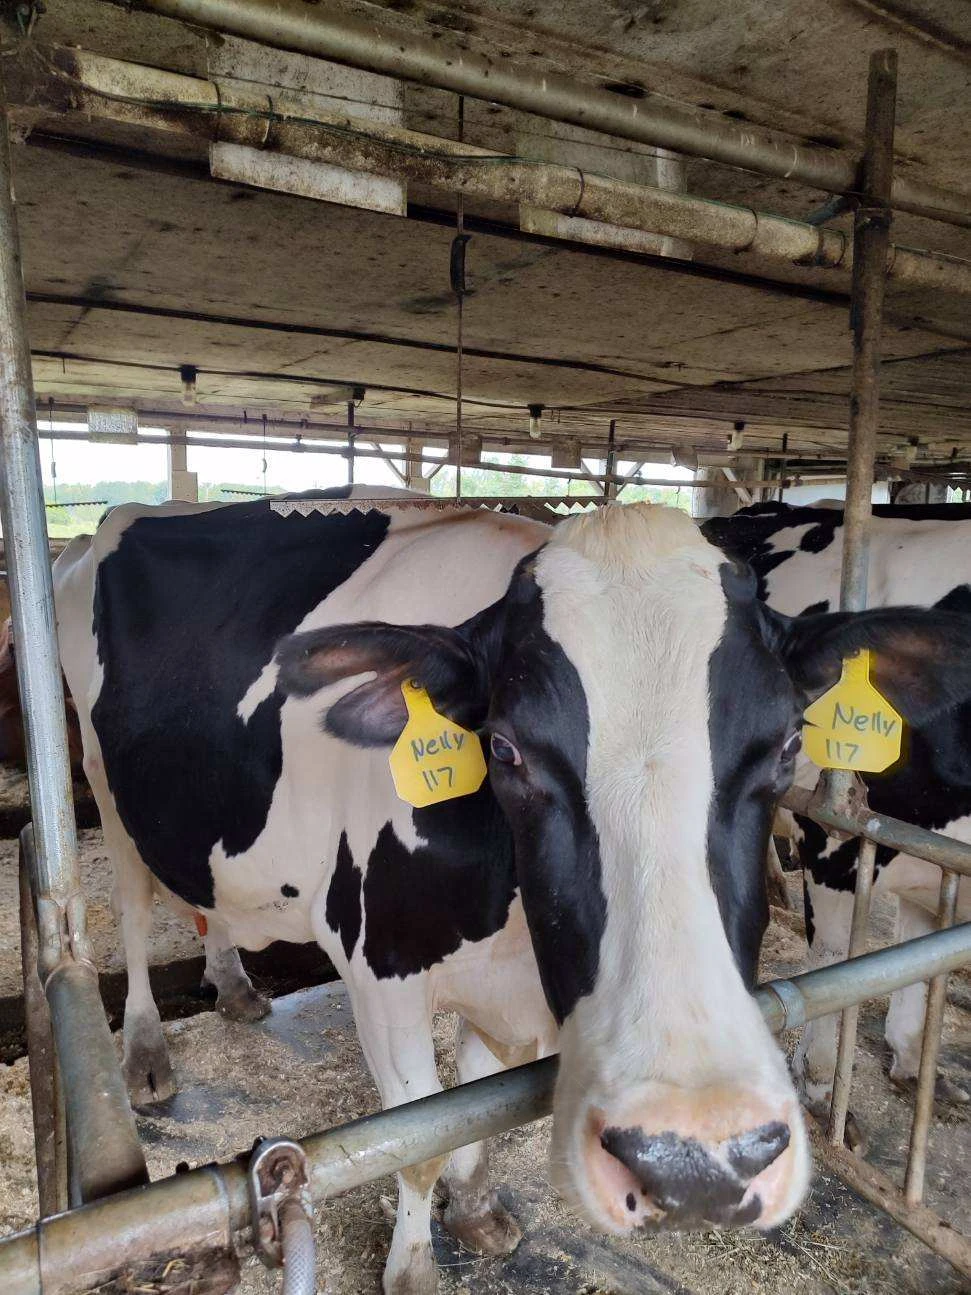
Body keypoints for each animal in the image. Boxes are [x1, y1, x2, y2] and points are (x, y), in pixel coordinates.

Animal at [703, 500, 971, 1111]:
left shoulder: (934, 858)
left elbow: (918, 961)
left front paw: (914, 1064)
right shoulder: (836, 836)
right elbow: (836, 963)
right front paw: (821, 1080)